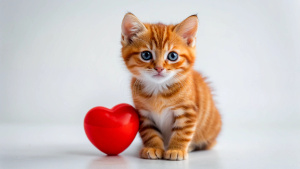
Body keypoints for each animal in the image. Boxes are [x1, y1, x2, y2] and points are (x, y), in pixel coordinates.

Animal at [120, 12, 221, 160]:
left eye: (173, 56)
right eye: (146, 55)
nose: (159, 68)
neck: (158, 89)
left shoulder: (187, 111)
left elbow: (182, 132)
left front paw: (176, 150)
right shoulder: (144, 113)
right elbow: (150, 132)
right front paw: (153, 147)